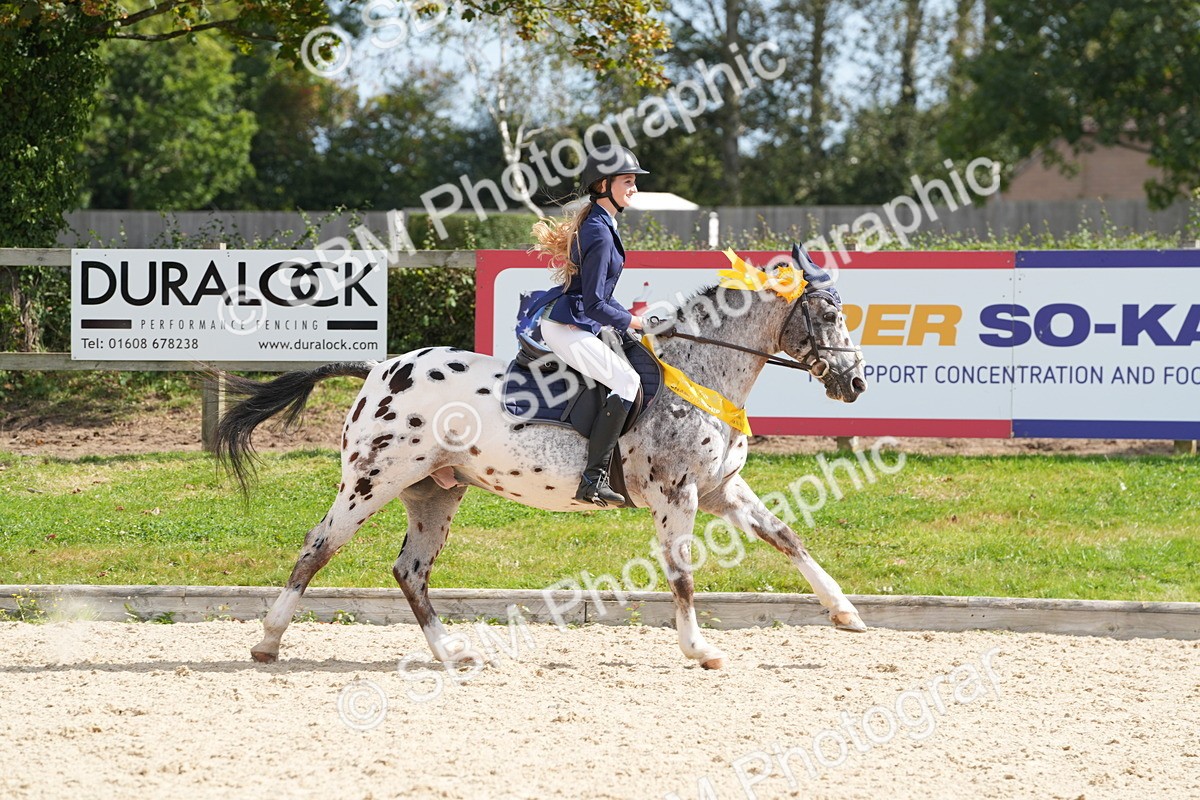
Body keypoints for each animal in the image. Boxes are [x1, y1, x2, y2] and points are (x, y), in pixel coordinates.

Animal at [216, 249, 869, 670]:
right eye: (828, 315)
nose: (855, 382)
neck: (701, 368)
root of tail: (381, 366)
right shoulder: (676, 495)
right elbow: (682, 573)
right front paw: (699, 649)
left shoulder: (719, 490)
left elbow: (787, 537)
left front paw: (845, 614)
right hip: (373, 480)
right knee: (318, 546)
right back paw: (268, 643)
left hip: (435, 490)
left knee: (410, 571)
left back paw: (450, 652)